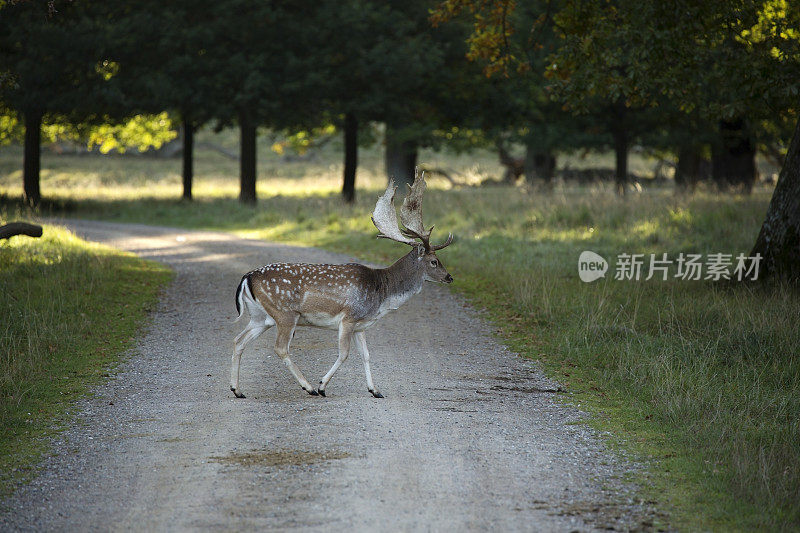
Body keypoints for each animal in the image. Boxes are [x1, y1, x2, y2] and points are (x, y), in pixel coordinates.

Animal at [233, 168, 456, 396]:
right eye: (434, 261)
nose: (449, 277)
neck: (382, 295)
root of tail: (247, 277)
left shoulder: (361, 325)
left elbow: (366, 355)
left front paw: (375, 390)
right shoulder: (349, 318)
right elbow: (344, 354)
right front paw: (322, 385)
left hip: (261, 317)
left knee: (238, 341)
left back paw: (237, 390)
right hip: (285, 314)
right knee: (279, 348)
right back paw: (309, 387)